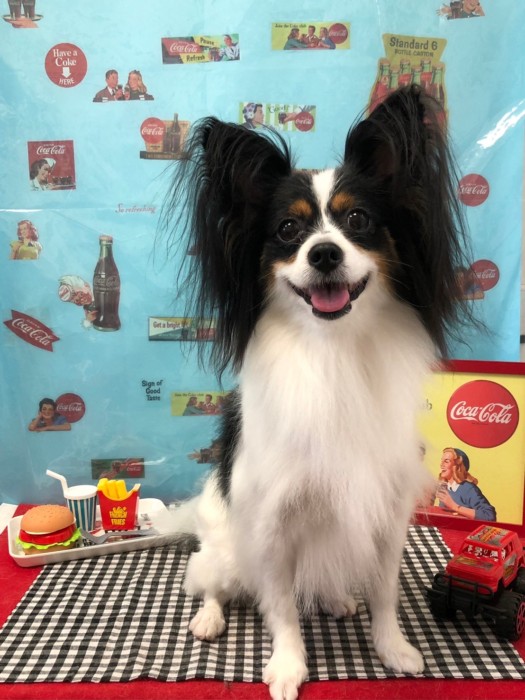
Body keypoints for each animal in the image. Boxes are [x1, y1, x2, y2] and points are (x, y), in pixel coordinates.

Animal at [162, 85, 469, 700]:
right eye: (287, 230)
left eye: (358, 219)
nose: (324, 253)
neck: (334, 352)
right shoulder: (272, 521)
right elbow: (281, 606)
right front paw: (287, 666)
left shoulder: (385, 510)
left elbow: (384, 592)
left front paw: (392, 648)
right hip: (225, 550)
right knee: (208, 581)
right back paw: (208, 617)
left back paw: (333, 598)